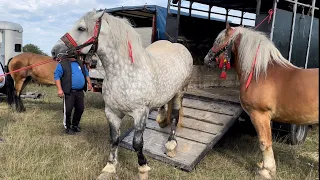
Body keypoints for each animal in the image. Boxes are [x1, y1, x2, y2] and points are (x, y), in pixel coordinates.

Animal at [51, 9, 194, 179]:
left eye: (81, 28)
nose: (54, 51)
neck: (124, 73)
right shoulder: (112, 112)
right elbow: (114, 139)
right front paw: (109, 167)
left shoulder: (140, 113)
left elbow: (137, 143)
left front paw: (143, 168)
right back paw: (161, 118)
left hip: (180, 92)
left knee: (175, 116)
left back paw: (171, 144)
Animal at [204, 23, 318, 179]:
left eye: (218, 41)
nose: (206, 58)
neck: (261, 73)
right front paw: (263, 166)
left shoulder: (259, 114)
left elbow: (264, 142)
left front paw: (267, 171)